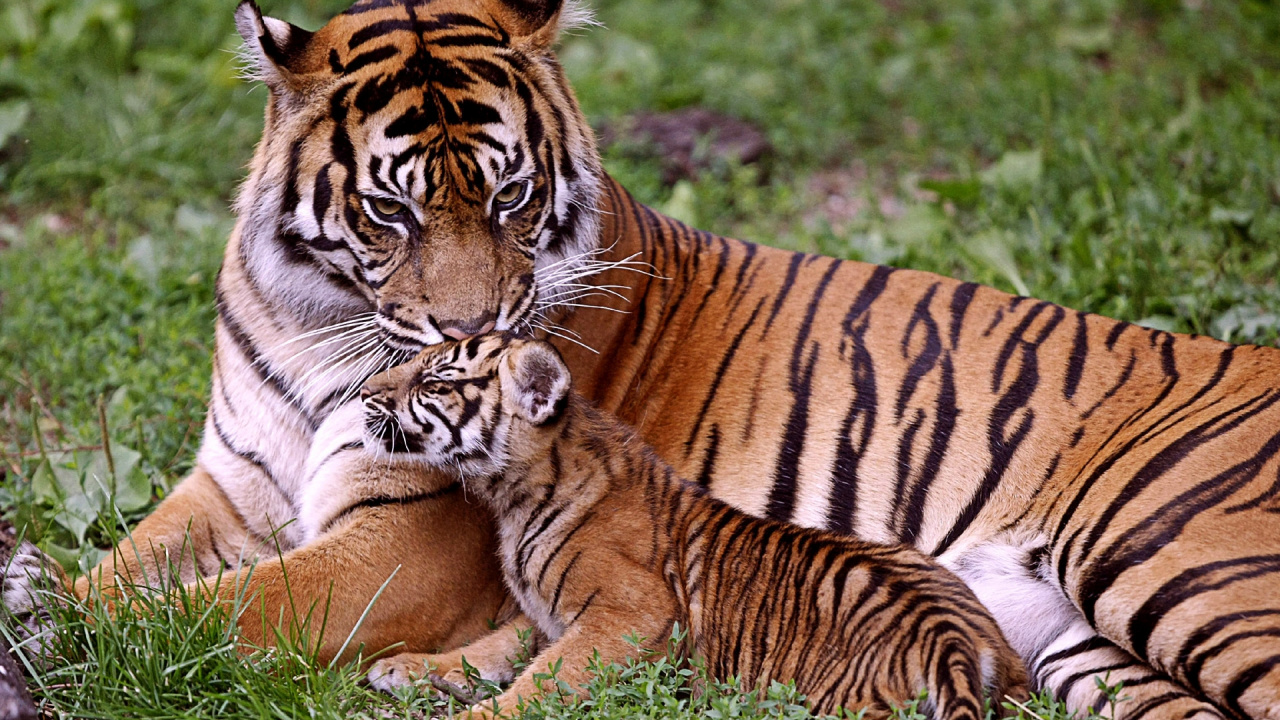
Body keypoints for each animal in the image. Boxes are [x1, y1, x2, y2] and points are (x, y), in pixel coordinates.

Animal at [345, 334, 1030, 719]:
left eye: (434, 382)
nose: (363, 392)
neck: (511, 493)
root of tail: (952, 638)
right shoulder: (546, 615)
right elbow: (493, 647)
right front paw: (407, 668)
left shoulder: (629, 611)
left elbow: (542, 680)